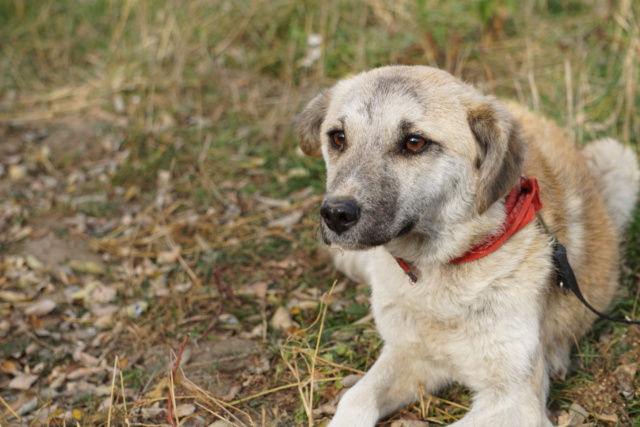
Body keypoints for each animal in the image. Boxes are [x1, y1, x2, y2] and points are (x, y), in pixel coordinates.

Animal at [296, 65, 640, 426]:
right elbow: (354, 399)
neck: (438, 270)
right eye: (338, 137)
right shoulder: (410, 357)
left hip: (619, 161)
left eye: (414, 143)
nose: (336, 214)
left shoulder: (514, 400)